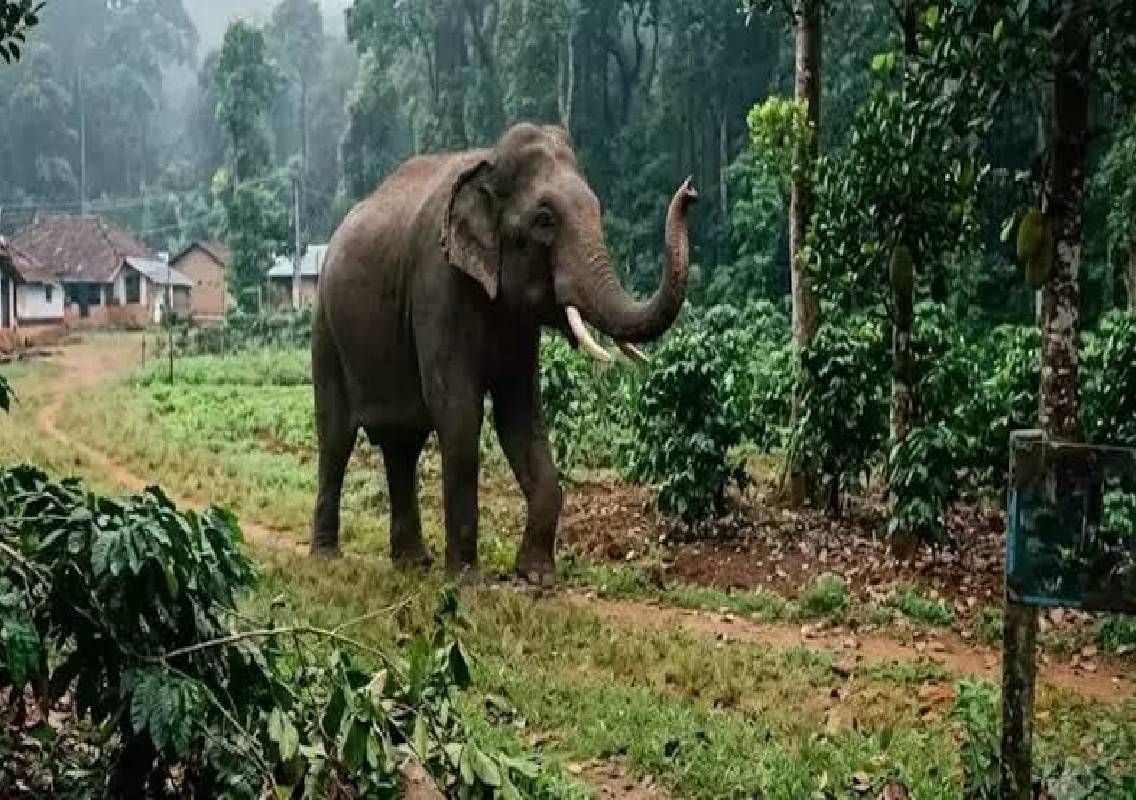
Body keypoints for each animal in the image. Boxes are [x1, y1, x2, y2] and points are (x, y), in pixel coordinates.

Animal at [310, 122, 697, 584]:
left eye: (598, 210)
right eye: (545, 220)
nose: (691, 190)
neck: (489, 166)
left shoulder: (518, 328)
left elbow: (521, 415)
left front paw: (537, 577)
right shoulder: (436, 286)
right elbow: (458, 411)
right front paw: (466, 580)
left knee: (401, 442)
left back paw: (413, 563)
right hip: (325, 327)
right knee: (336, 437)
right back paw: (328, 557)